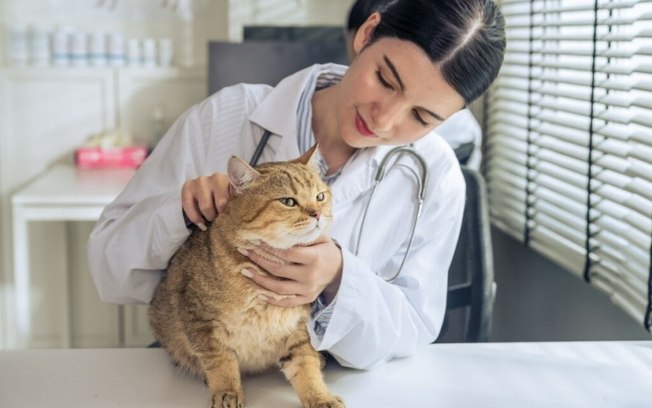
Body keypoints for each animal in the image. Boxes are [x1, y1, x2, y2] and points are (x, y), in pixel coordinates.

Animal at [149, 147, 346, 408]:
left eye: (320, 196)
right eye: (288, 201)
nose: (317, 214)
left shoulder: (296, 328)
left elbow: (306, 365)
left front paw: (320, 397)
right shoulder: (201, 322)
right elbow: (221, 362)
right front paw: (226, 393)